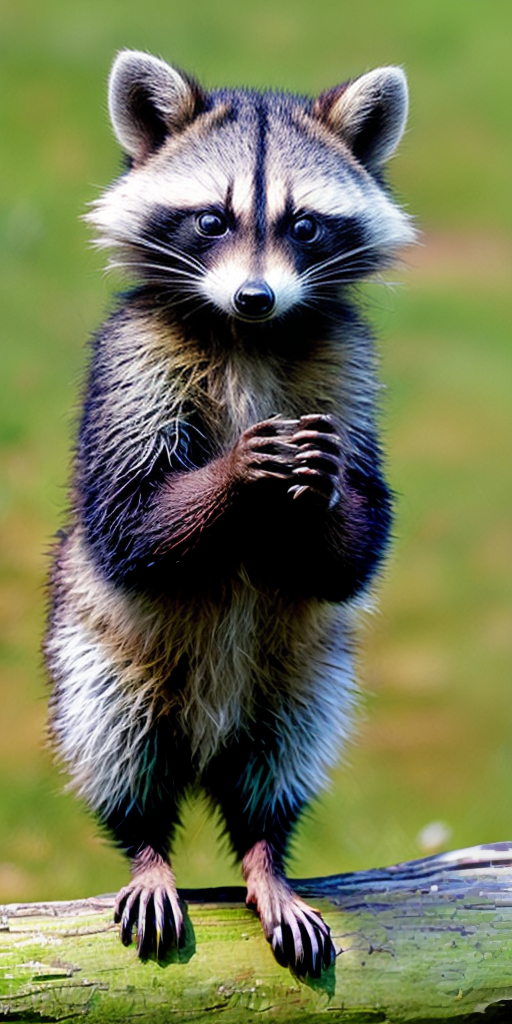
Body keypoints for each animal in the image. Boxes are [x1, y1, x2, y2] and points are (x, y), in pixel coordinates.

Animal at [45, 50, 414, 976]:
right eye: (212, 220)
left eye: (305, 226)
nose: (254, 297)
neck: (248, 336)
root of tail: (209, 745)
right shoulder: (133, 358)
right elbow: (124, 518)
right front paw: (235, 478)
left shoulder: (344, 364)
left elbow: (362, 537)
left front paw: (325, 492)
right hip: (99, 663)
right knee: (119, 750)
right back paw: (144, 845)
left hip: (305, 682)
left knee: (280, 764)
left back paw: (265, 849)